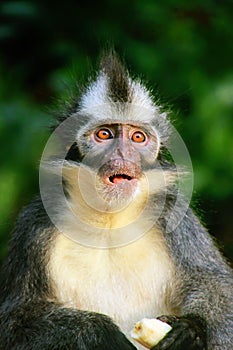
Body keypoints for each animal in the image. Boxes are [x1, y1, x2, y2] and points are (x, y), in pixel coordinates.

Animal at [0, 50, 233, 350]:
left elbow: (219, 289)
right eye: (104, 134)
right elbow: (14, 323)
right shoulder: (34, 226)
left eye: (137, 137)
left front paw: (191, 330)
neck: (109, 219)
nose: (122, 154)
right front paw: (99, 333)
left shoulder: (174, 214)